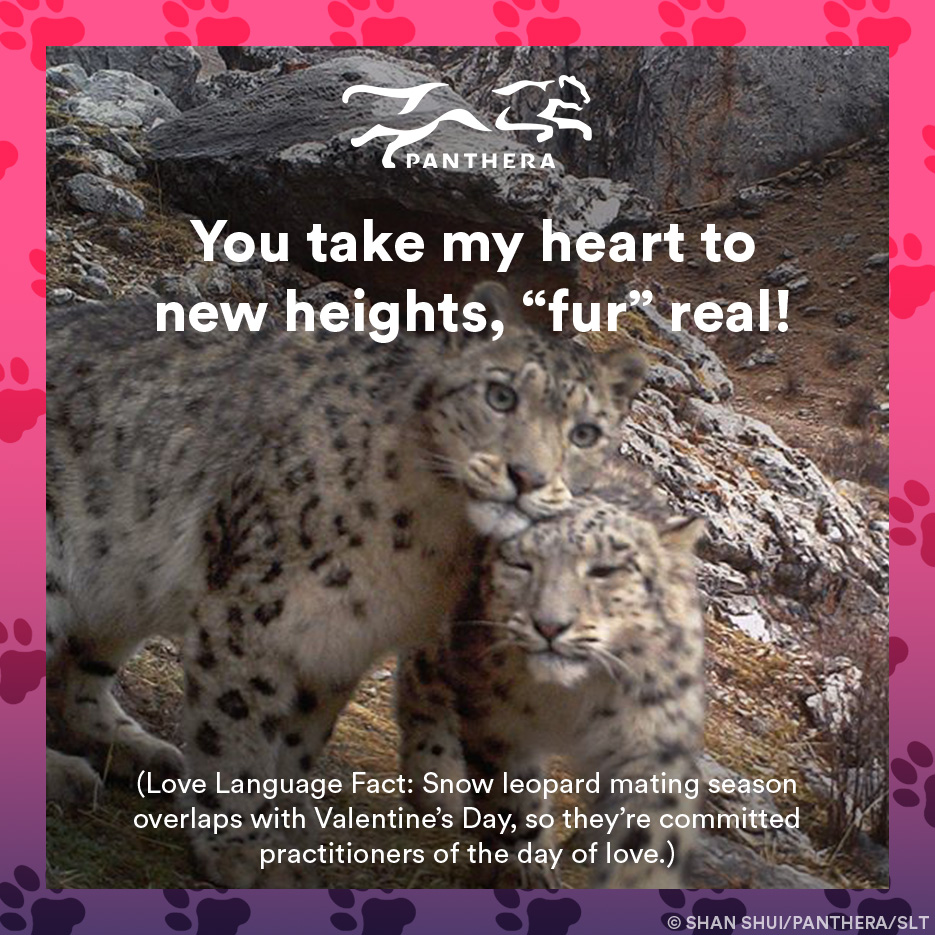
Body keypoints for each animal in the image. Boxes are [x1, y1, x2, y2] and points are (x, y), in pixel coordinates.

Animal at [45, 280, 646, 888]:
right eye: (500, 396)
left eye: (585, 433)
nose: (528, 476)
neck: (427, 540)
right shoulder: (251, 608)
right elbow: (236, 727)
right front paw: (240, 849)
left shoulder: (342, 634)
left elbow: (300, 736)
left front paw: (290, 826)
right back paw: (66, 776)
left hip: (123, 591)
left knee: (79, 677)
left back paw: (136, 749)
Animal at [396, 462, 705, 889]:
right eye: (520, 564)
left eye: (605, 570)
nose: (549, 625)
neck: (571, 701)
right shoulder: (497, 723)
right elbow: (515, 800)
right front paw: (528, 872)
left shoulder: (652, 734)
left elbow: (647, 834)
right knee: (420, 677)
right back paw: (436, 785)